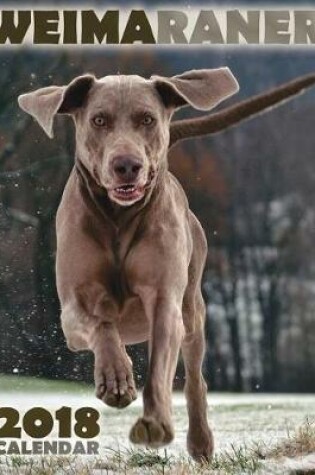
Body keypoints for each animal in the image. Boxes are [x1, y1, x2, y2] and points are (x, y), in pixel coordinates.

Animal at [17, 69, 239, 462]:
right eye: (99, 120)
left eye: (147, 119)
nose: (127, 165)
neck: (118, 218)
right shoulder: (71, 311)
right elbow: (101, 324)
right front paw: (116, 377)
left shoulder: (165, 301)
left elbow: (160, 369)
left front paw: (155, 423)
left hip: (193, 307)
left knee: (195, 378)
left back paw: (200, 441)